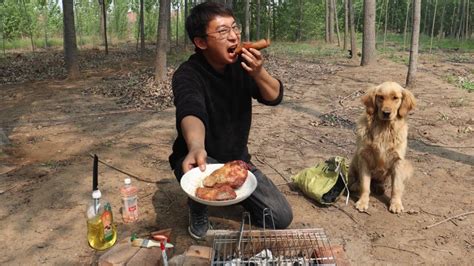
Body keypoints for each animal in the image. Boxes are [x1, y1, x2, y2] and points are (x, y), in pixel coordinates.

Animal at [348, 81, 414, 214]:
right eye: (380, 97)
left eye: (395, 98)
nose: (386, 113)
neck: (384, 129)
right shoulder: (364, 158)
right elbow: (365, 185)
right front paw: (362, 202)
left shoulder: (398, 160)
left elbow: (396, 187)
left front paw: (396, 204)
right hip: (355, 159)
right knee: (356, 178)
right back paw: (355, 185)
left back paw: (379, 188)